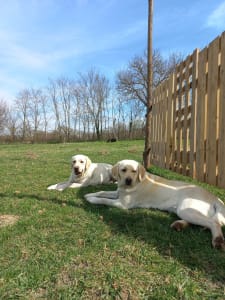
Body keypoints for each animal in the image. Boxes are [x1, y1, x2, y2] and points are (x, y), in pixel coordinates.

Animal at [85, 161, 225, 250]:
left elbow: (103, 200)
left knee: (214, 223)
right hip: (184, 211)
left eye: (134, 171)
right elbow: (102, 192)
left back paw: (217, 240)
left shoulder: (122, 204)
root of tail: (214, 197)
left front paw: (92, 199)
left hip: (186, 209)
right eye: (123, 170)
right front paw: (89, 194)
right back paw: (179, 224)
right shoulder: (117, 193)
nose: (128, 180)